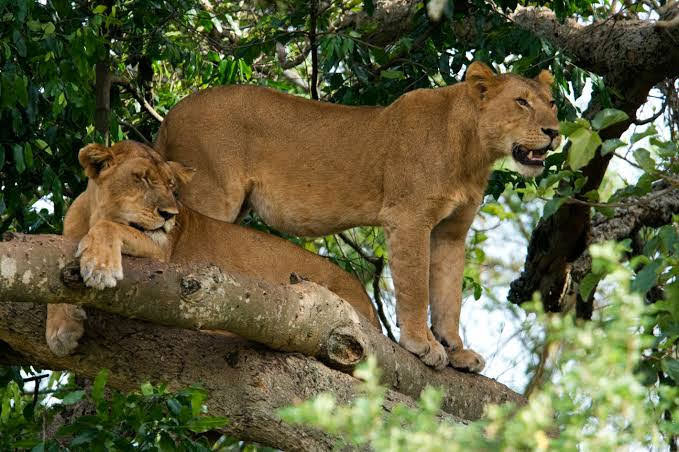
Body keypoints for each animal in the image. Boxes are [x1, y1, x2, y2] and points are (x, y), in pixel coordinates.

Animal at [45, 140, 379, 357]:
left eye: (172, 186)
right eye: (141, 179)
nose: (170, 215)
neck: (94, 213)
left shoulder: (161, 252)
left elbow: (110, 228)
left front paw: (100, 267)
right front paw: (61, 331)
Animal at [154, 61, 560, 372]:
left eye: (552, 103)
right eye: (521, 102)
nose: (554, 132)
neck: (473, 151)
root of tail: (171, 115)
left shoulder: (451, 232)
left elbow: (448, 296)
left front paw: (456, 350)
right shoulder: (409, 218)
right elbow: (416, 288)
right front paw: (421, 343)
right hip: (211, 193)